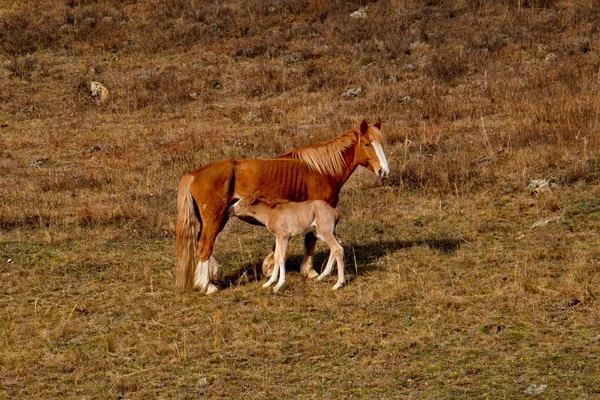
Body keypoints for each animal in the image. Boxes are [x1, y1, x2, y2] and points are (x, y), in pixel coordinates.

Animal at [176, 119, 390, 294]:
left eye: (382, 143)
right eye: (367, 144)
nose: (384, 171)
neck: (321, 170)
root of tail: (194, 174)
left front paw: (271, 268)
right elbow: (310, 241)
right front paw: (309, 271)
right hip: (215, 219)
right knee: (205, 246)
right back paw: (207, 286)